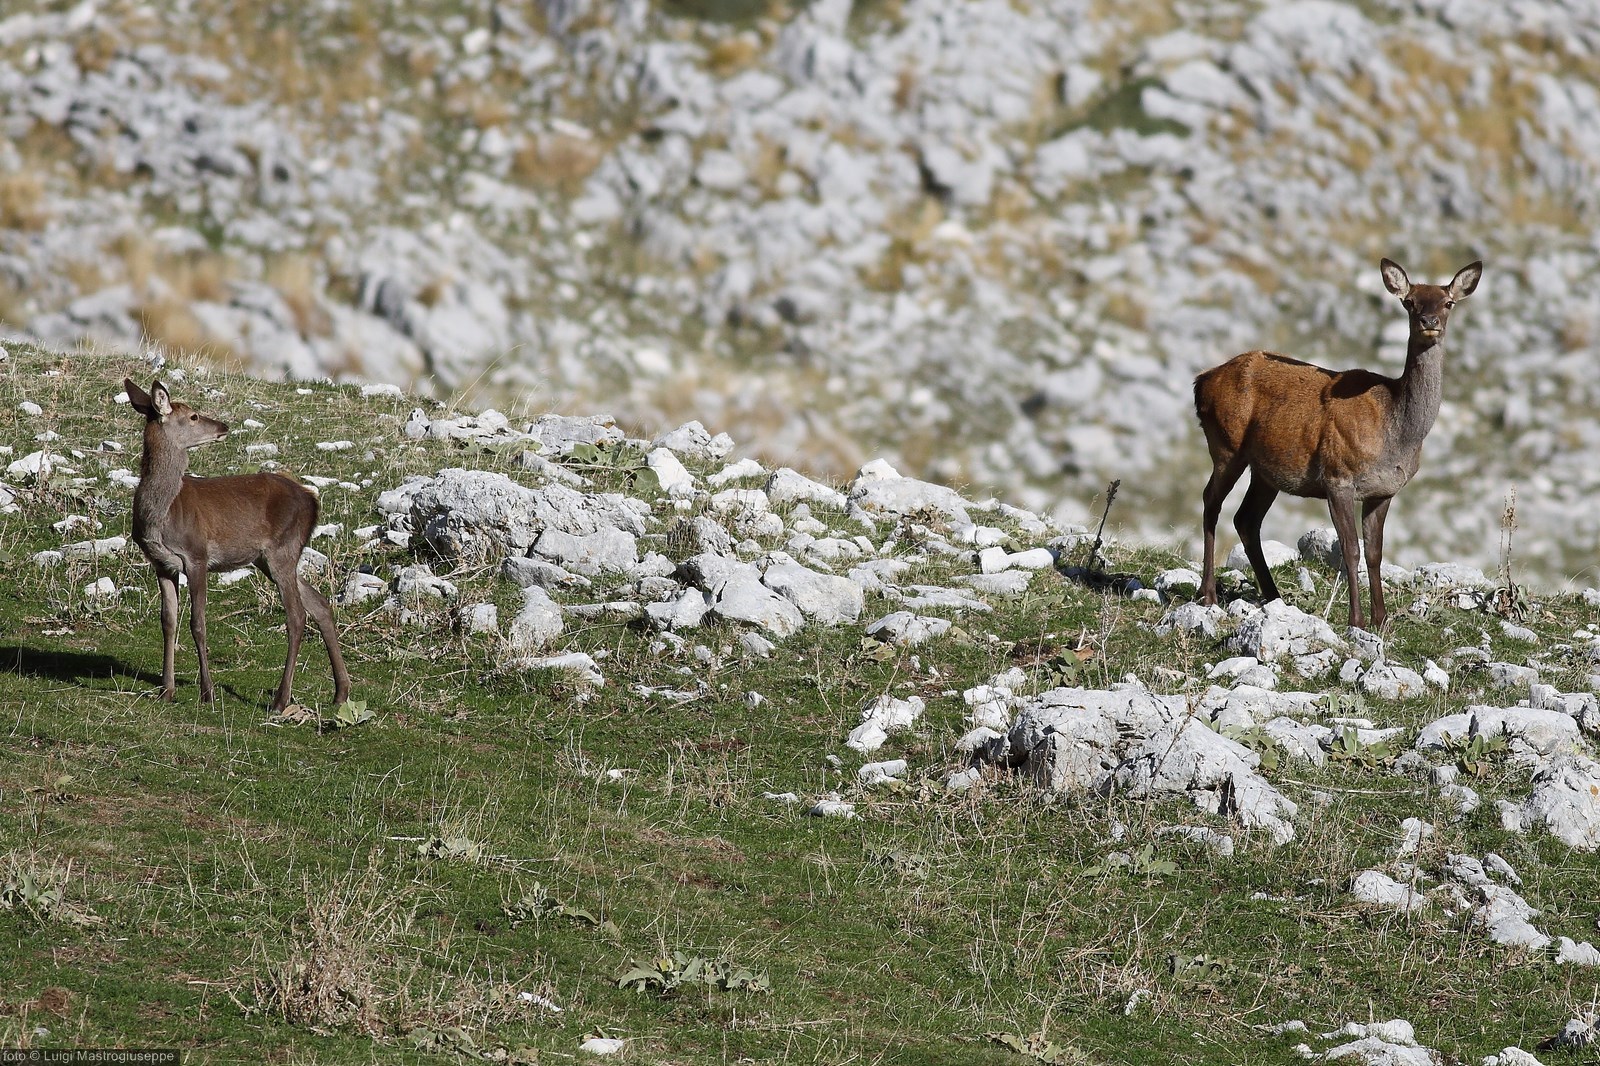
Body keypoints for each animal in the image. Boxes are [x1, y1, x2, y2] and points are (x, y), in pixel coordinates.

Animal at [124, 378, 350, 711]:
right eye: (193, 416)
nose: (223, 426)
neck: (161, 515)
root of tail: (313, 499)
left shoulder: (197, 555)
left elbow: (197, 623)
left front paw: (207, 692)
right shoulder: (162, 563)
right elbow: (168, 622)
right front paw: (166, 690)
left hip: (282, 549)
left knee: (297, 615)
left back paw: (281, 700)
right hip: (269, 558)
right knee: (319, 604)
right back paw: (340, 692)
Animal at [1193, 258, 1482, 631]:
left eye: (1448, 302)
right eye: (1409, 302)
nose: (1428, 322)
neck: (1397, 432)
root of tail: (1201, 382)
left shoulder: (1383, 490)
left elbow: (1374, 553)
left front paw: (1381, 619)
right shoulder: (1338, 476)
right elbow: (1350, 550)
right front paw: (1356, 621)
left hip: (1266, 471)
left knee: (1245, 519)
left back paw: (1273, 596)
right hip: (1226, 446)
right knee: (1210, 503)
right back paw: (1209, 593)